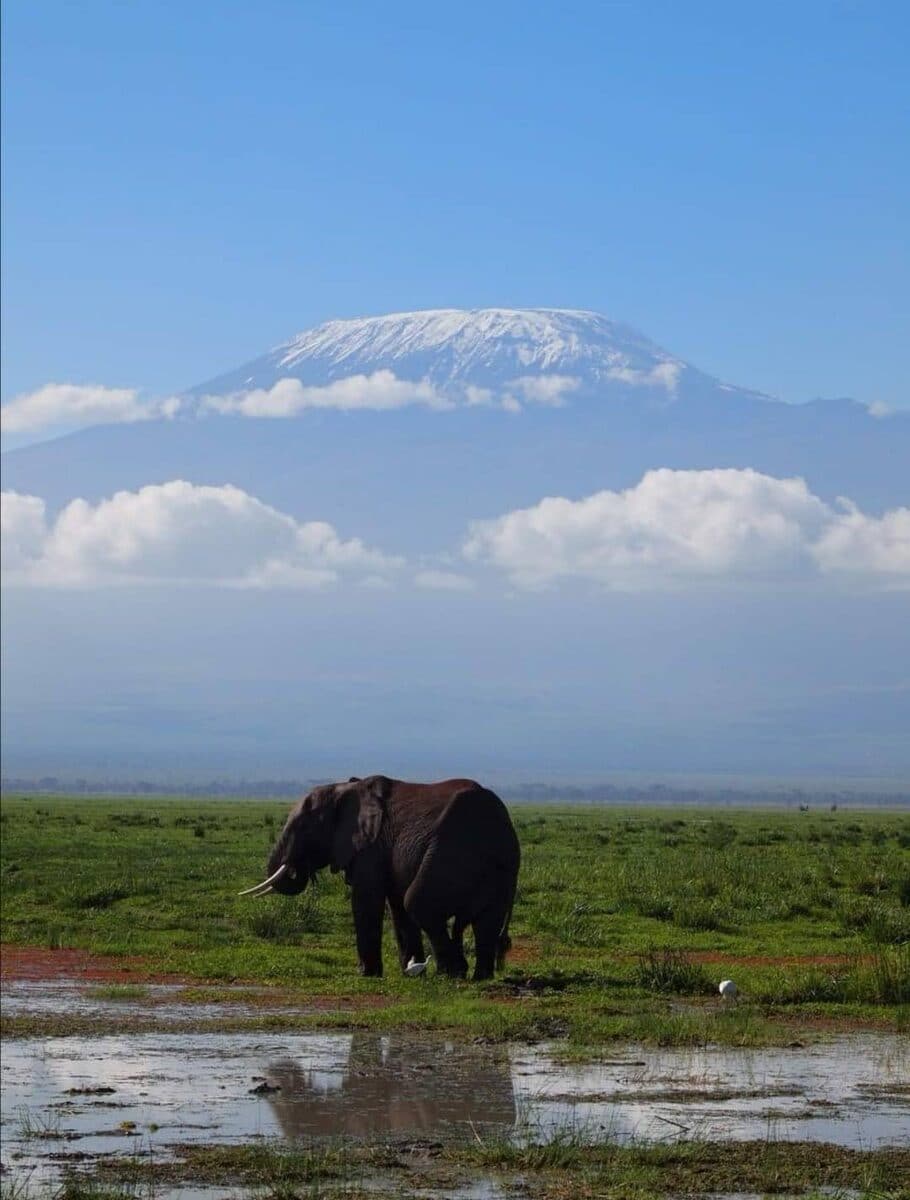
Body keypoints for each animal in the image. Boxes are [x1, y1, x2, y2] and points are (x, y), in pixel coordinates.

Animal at [240, 775, 520, 979]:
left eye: (304, 826)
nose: (298, 868)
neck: (345, 788)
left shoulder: (370, 847)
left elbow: (367, 899)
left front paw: (367, 974)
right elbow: (396, 906)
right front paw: (410, 973)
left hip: (452, 851)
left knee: (419, 903)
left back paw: (452, 973)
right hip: (499, 869)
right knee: (484, 921)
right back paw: (478, 977)